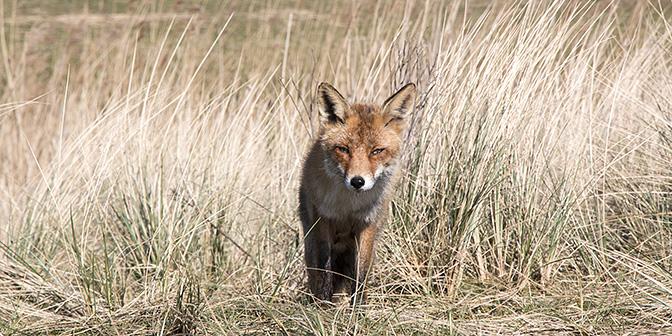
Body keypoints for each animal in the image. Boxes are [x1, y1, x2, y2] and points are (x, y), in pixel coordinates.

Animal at [298, 81, 414, 304]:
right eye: (343, 149)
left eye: (376, 151)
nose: (357, 181)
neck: (349, 206)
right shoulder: (323, 219)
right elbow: (325, 268)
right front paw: (323, 304)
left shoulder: (367, 223)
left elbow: (361, 274)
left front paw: (358, 307)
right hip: (310, 241)